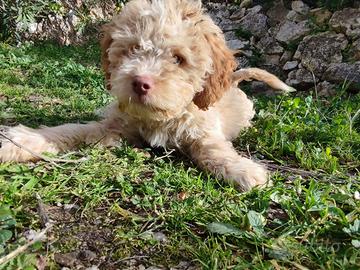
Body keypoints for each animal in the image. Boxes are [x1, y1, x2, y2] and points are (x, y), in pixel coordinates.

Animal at [0, 0, 294, 191]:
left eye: (178, 58)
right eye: (132, 49)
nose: (140, 82)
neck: (159, 118)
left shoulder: (204, 131)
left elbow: (212, 149)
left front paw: (243, 170)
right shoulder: (113, 125)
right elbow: (72, 130)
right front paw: (20, 142)